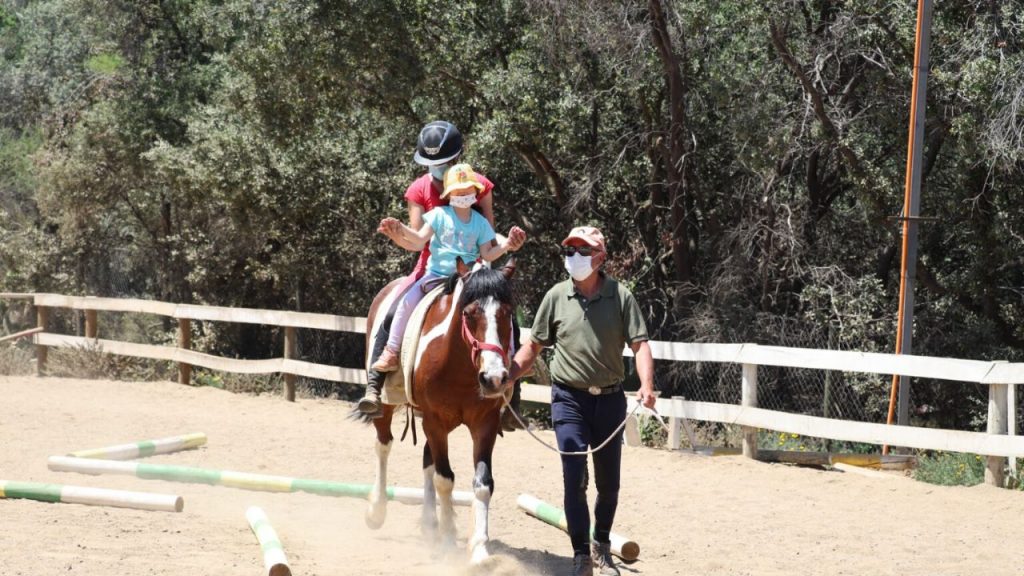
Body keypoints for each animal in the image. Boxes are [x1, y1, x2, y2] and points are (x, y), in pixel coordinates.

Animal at [364, 255, 516, 561]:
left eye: (507, 313)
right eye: (469, 313)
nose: (494, 378)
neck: (459, 364)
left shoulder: (485, 423)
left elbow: (482, 483)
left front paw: (479, 550)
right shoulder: (435, 421)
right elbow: (444, 479)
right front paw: (446, 543)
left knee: (427, 460)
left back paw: (429, 525)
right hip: (387, 404)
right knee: (383, 445)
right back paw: (377, 510)